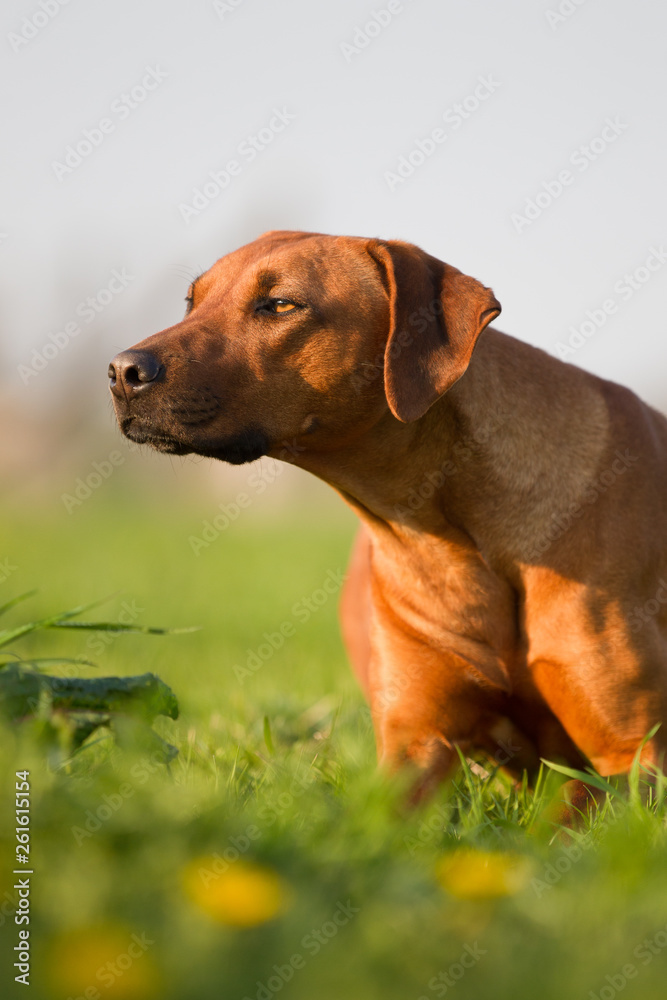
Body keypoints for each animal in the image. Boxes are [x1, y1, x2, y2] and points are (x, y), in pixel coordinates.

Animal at [108, 232, 667, 796]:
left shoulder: (633, 755)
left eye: (281, 304)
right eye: (191, 302)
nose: (121, 371)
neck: (438, 531)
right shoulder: (413, 741)